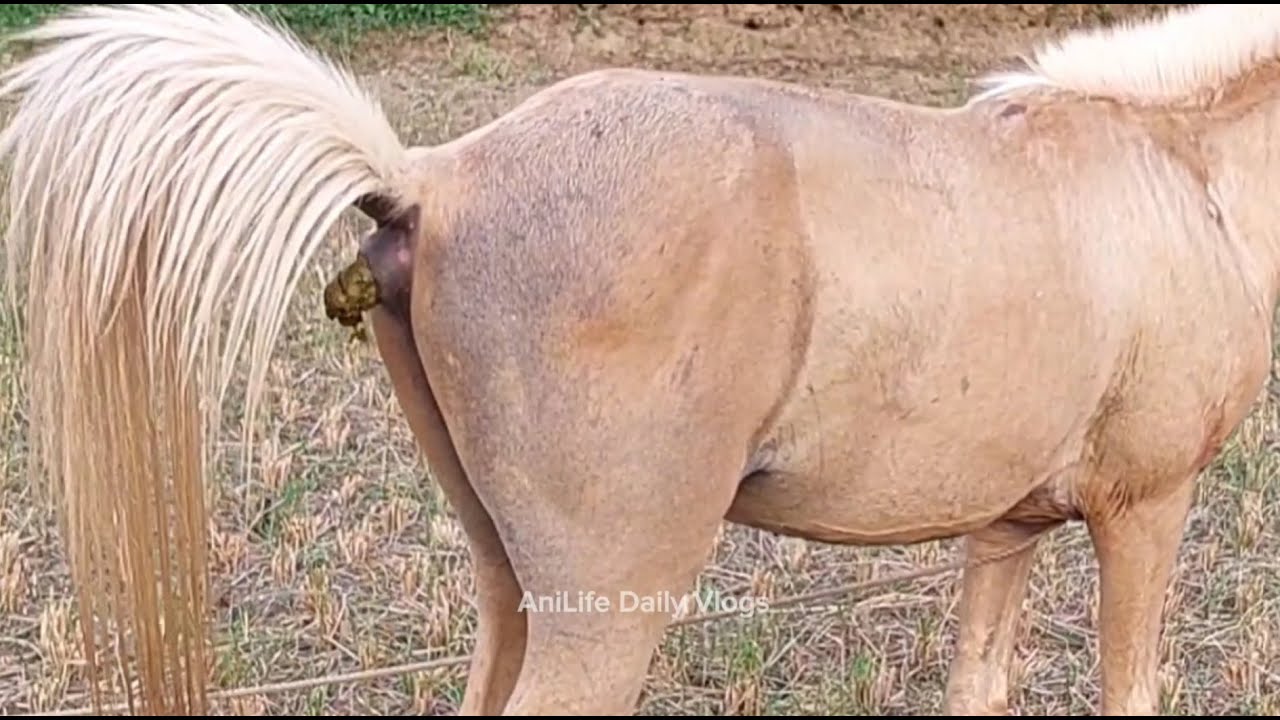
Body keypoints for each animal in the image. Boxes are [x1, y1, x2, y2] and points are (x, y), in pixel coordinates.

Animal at [1, 2, 1276, 715]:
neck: (1178, 176)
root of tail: (430, 178)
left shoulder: (1002, 532)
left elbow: (977, 687)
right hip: (605, 611)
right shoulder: (1144, 511)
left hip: (509, 585)